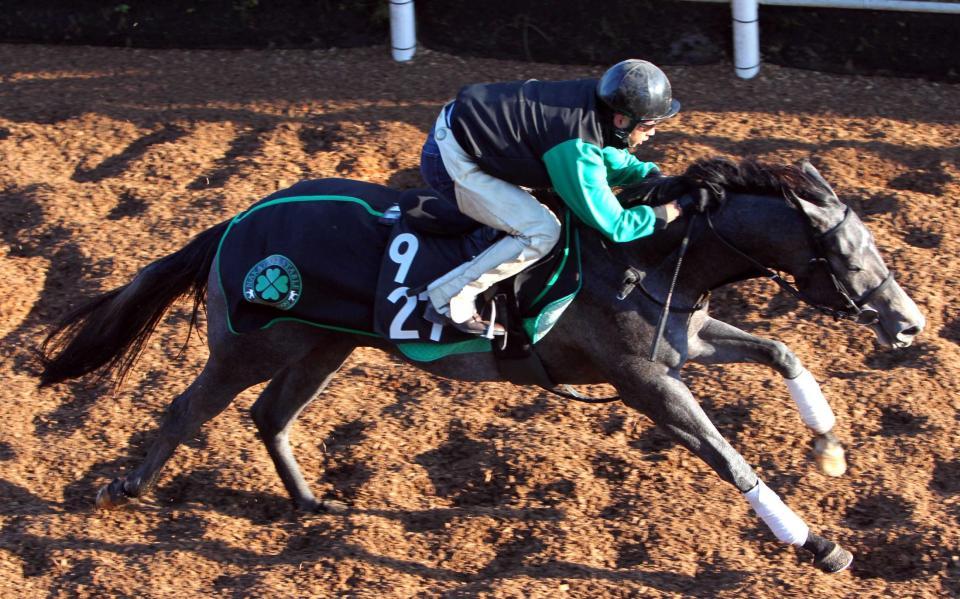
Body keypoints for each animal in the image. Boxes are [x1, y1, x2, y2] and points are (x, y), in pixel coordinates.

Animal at [38, 157, 925, 574]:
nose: (911, 323)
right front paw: (817, 543)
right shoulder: (645, 381)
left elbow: (782, 347)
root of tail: (234, 221)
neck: (644, 253)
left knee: (270, 415)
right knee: (188, 408)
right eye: (851, 252)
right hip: (253, 343)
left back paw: (315, 505)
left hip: (324, 343)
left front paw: (828, 442)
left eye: (878, 244)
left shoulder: (687, 339)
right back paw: (124, 490)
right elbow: (726, 454)